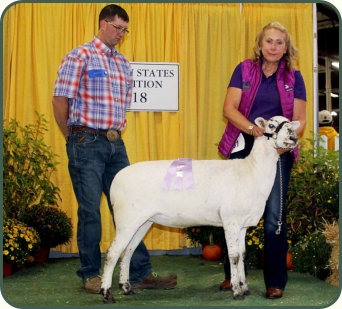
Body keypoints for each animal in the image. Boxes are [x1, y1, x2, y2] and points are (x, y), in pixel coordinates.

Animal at [99, 115, 300, 300]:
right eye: (272, 125)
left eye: (291, 125)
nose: (294, 138)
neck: (252, 170)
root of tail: (116, 180)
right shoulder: (231, 220)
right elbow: (234, 256)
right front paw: (237, 290)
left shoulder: (243, 224)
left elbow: (242, 255)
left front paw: (244, 287)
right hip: (127, 219)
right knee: (112, 254)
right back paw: (106, 293)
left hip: (143, 222)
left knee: (127, 252)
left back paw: (126, 288)